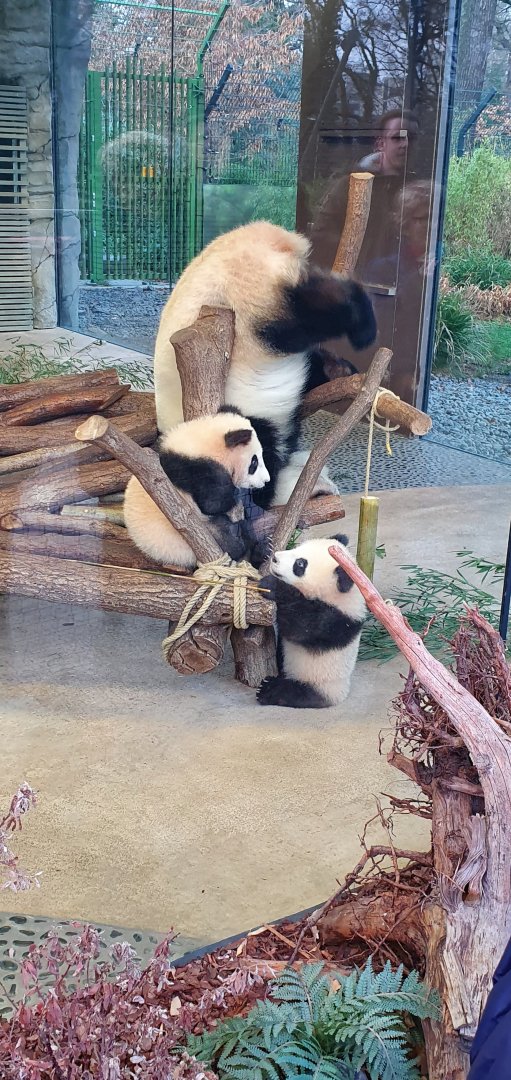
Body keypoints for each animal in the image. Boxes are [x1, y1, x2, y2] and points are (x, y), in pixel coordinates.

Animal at [123, 410, 269, 570]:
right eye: (254, 462)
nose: (266, 480)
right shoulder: (197, 469)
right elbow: (213, 504)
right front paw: (236, 500)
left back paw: (261, 551)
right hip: (185, 540)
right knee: (225, 534)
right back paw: (239, 543)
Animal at [257, 534, 366, 708]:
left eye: (300, 564)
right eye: (298, 547)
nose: (275, 558)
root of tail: (341, 696)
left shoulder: (334, 621)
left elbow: (300, 626)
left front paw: (273, 586)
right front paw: (264, 547)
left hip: (320, 684)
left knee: (293, 693)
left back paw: (267, 689)